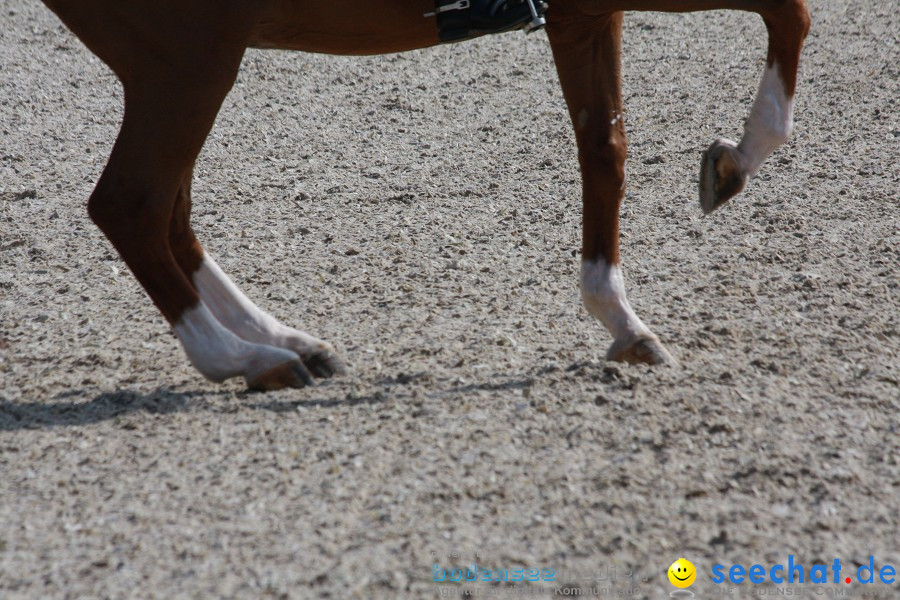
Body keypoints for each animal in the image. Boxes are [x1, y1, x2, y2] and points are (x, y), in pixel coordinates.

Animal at [37, 0, 808, 390]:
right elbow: (791, 13)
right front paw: (732, 163)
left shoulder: (585, 15)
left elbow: (604, 156)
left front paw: (619, 317)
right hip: (188, 63)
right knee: (133, 206)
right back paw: (239, 359)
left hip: (183, 68)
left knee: (169, 214)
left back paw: (283, 341)